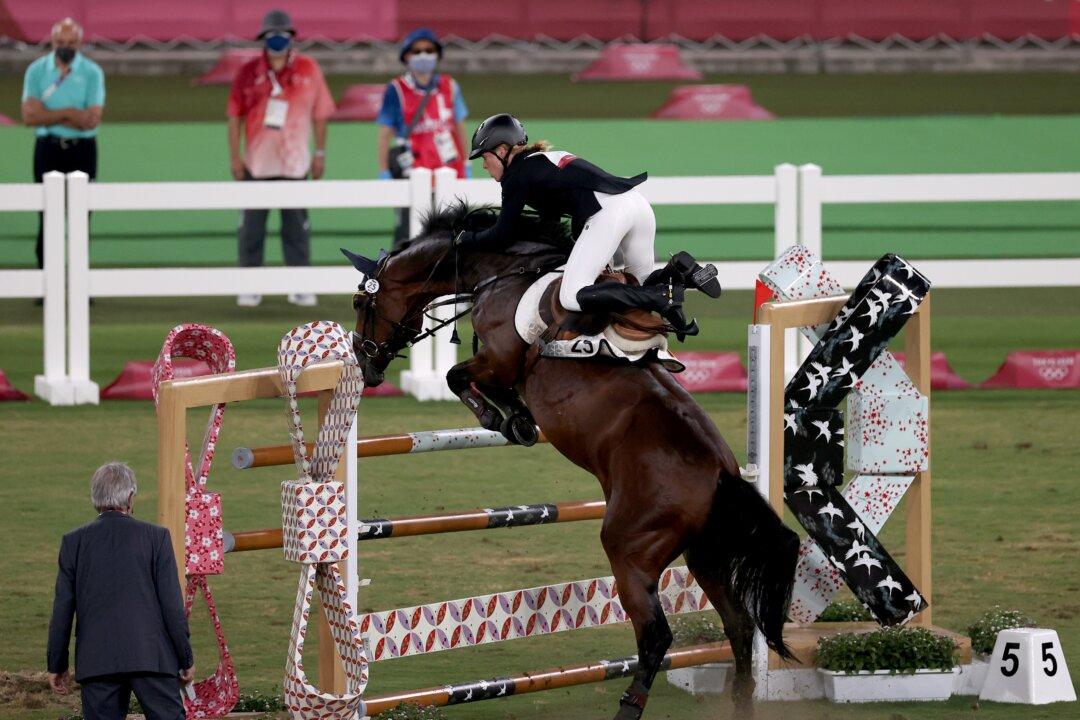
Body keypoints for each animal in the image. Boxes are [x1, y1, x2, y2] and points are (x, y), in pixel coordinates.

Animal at [345, 204, 799, 719]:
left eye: (362, 303)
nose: (365, 364)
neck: (502, 273)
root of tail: (722, 473)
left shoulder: (499, 361)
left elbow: (457, 375)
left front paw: (509, 418)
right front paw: (514, 417)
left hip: (631, 551)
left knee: (656, 635)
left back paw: (629, 708)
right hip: (705, 555)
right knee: (739, 625)